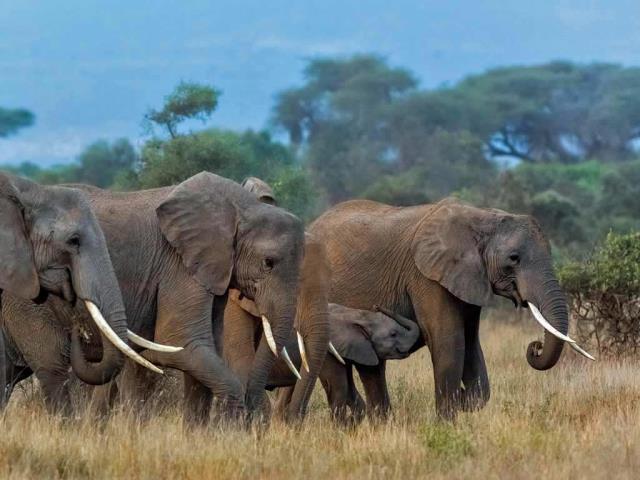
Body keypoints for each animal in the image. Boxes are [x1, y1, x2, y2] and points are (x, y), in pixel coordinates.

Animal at [308, 197, 592, 420]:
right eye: (514, 258)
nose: (535, 347)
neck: (483, 218)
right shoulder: (426, 277)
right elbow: (449, 340)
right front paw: (447, 423)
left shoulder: (468, 278)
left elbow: (471, 342)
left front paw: (465, 398)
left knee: (372, 365)